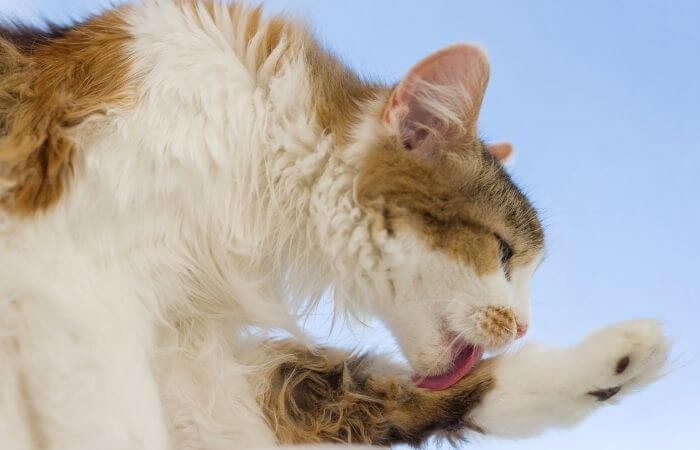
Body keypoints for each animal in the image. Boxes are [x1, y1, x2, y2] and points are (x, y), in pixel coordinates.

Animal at [0, 0, 668, 450]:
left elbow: (395, 391)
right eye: (503, 252)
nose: (525, 325)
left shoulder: (201, 368)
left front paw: (615, 361)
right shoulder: (78, 291)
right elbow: (120, 427)